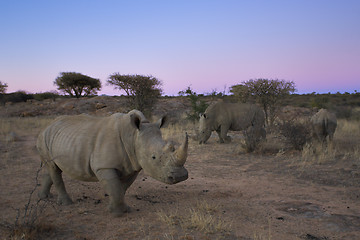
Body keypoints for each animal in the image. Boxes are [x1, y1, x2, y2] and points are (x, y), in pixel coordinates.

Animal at [36, 109, 188, 217]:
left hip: (59, 139)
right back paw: (66, 204)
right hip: (43, 136)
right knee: (53, 168)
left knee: (53, 168)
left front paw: (118, 209)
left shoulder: (133, 165)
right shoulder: (104, 166)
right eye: (154, 157)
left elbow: (121, 188)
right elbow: (114, 187)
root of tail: (48, 125)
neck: (133, 136)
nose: (180, 176)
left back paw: (44, 197)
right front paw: (118, 214)